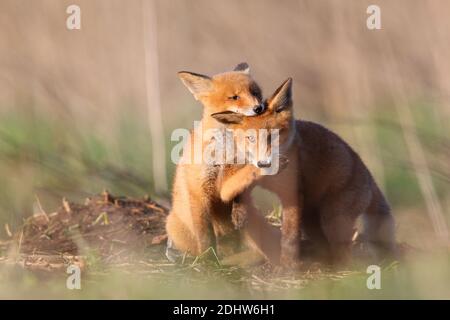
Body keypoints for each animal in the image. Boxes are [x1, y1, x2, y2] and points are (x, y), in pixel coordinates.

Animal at [167, 63, 282, 262]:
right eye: (234, 97)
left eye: (255, 92)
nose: (259, 107)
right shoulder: (199, 190)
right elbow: (204, 234)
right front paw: (207, 261)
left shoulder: (240, 171)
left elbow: (238, 193)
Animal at [212, 77, 398, 264]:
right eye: (250, 138)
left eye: (273, 136)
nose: (264, 163)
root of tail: (367, 173)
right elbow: (232, 189)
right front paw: (240, 210)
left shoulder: (291, 194)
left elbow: (289, 237)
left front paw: (288, 266)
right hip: (311, 221)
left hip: (333, 219)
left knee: (343, 248)